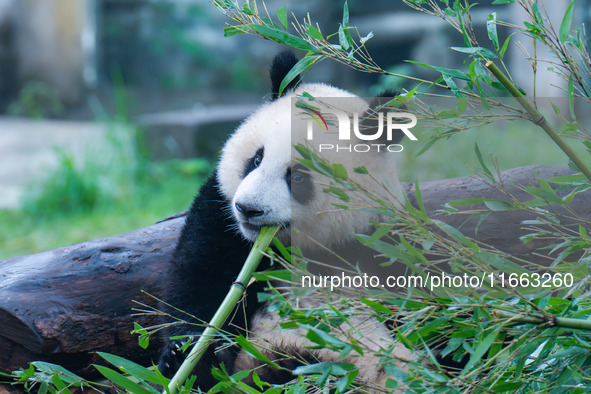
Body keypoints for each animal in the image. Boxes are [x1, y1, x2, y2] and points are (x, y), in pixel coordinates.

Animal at [157, 51, 412, 390]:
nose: (248, 209)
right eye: (256, 159)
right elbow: (200, 279)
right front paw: (189, 356)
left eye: (298, 178)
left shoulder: (382, 237)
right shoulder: (221, 219)